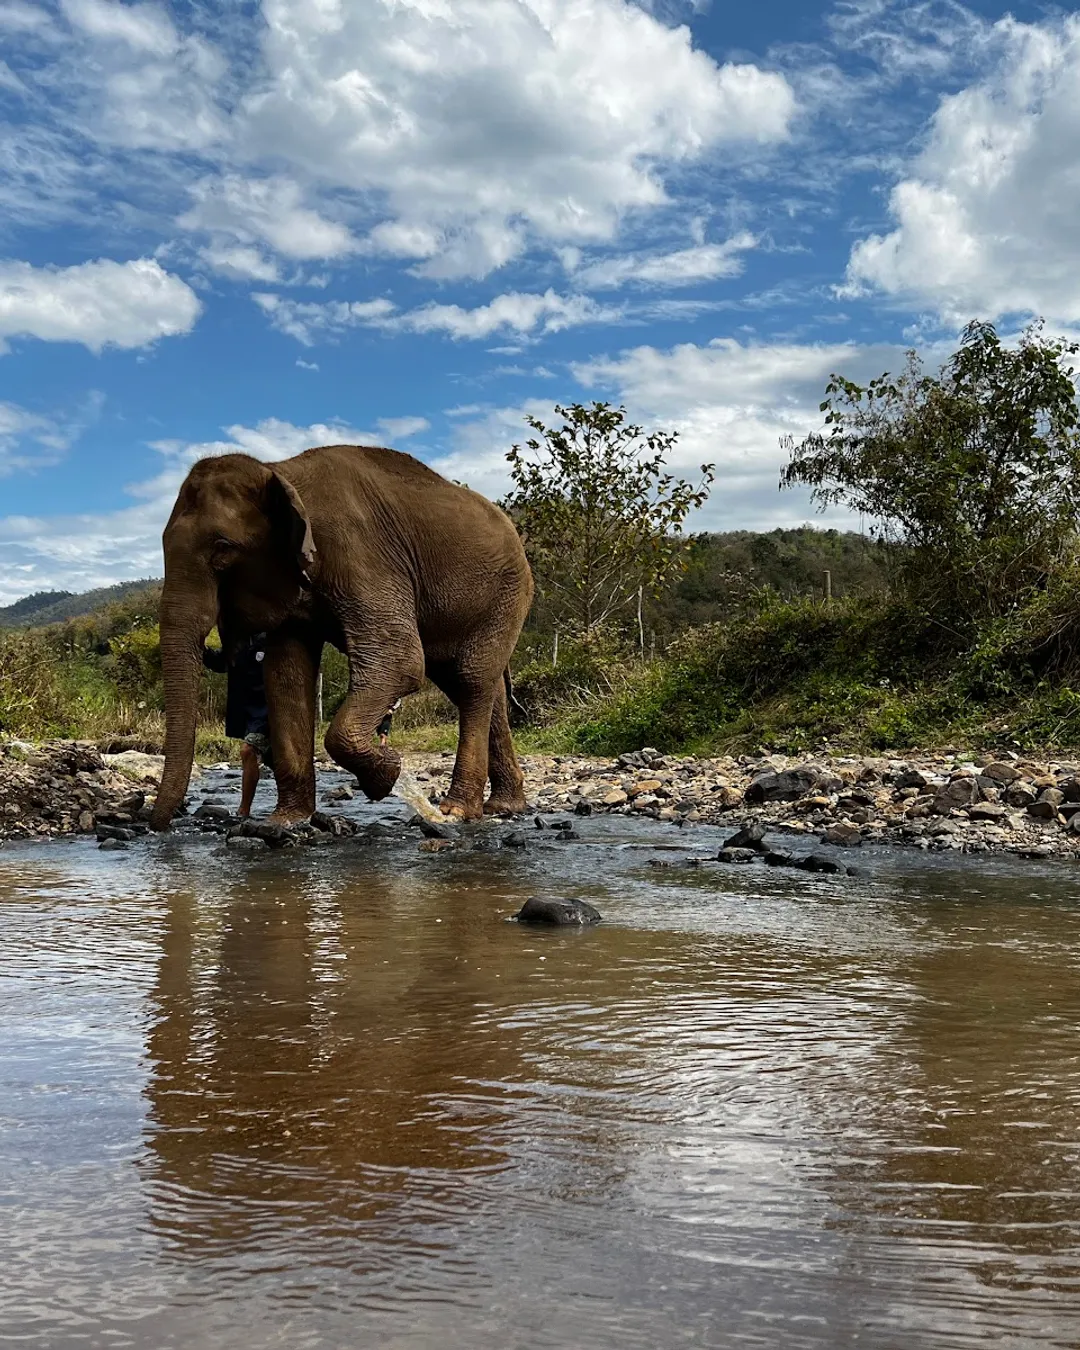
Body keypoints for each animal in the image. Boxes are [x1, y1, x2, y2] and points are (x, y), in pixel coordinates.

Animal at [147, 442, 534, 826]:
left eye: (223, 548)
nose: (156, 825)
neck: (280, 470)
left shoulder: (363, 554)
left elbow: (401, 662)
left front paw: (386, 775)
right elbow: (285, 676)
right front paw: (286, 821)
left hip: (507, 594)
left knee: (471, 681)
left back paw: (458, 810)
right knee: (475, 686)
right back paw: (504, 806)